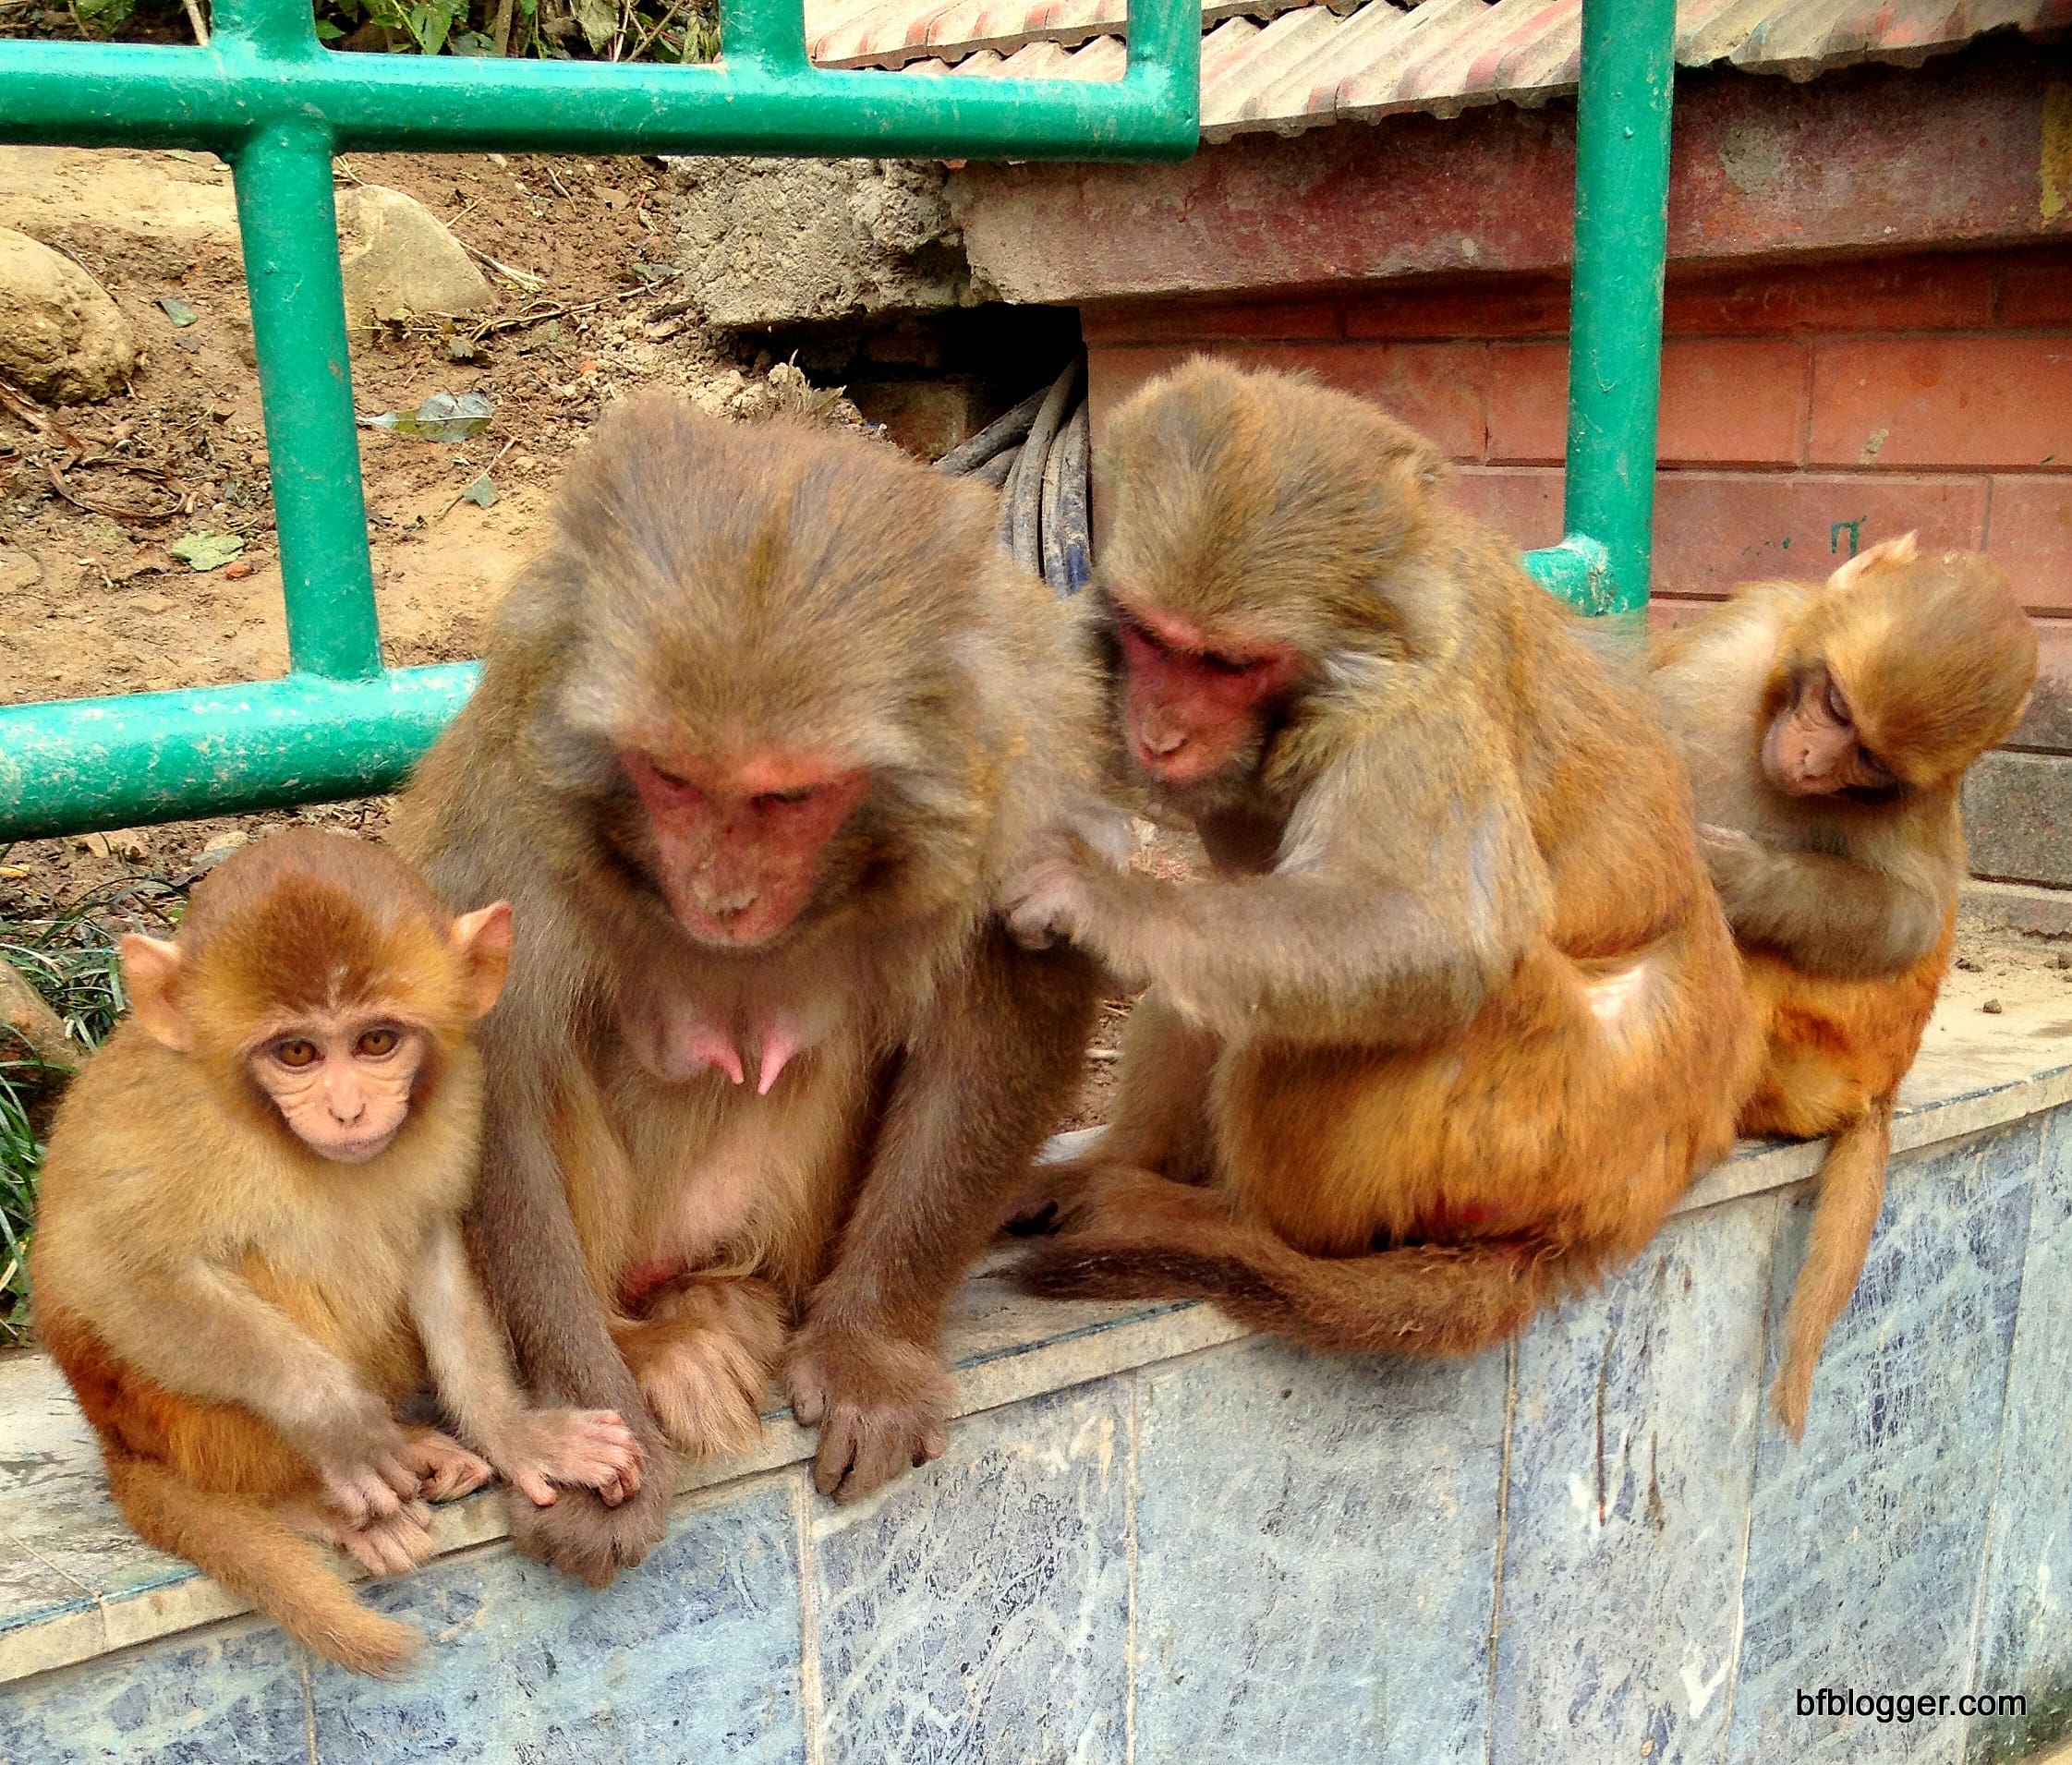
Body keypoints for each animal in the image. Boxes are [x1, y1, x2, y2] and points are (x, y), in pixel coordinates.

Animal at [31, 830, 642, 1675]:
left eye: (376, 1040)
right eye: (296, 1052)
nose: (348, 1108)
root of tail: (116, 1444)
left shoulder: (458, 1088)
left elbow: (429, 1236)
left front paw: (516, 1432)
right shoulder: (182, 1120)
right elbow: (109, 1269)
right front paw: (339, 1422)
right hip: (168, 1420)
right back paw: (301, 1496)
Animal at [391, 392, 1104, 1584]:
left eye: (784, 799)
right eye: (671, 779)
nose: (717, 894)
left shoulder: (1024, 756)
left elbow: (1001, 1030)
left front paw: (869, 1352)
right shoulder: (519, 774)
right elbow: (495, 1070)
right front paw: (590, 1430)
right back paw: (647, 1344)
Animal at [997, 358, 1757, 1358]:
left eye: (1226, 665)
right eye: (1152, 640)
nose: (1159, 733)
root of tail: (1628, 1191)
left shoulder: (1416, 711)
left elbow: (1431, 932)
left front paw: (1095, 898)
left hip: (1522, 1123)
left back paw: (1210, 1220)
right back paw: (1123, 1168)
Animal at [1649, 534, 2038, 1436]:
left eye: (1865, 755)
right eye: (1830, 702)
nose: (1805, 761)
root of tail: (1884, 1085)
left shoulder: (1921, 789)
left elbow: (1910, 920)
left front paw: (1735, 876)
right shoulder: (1735, 640)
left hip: (1822, 1050)